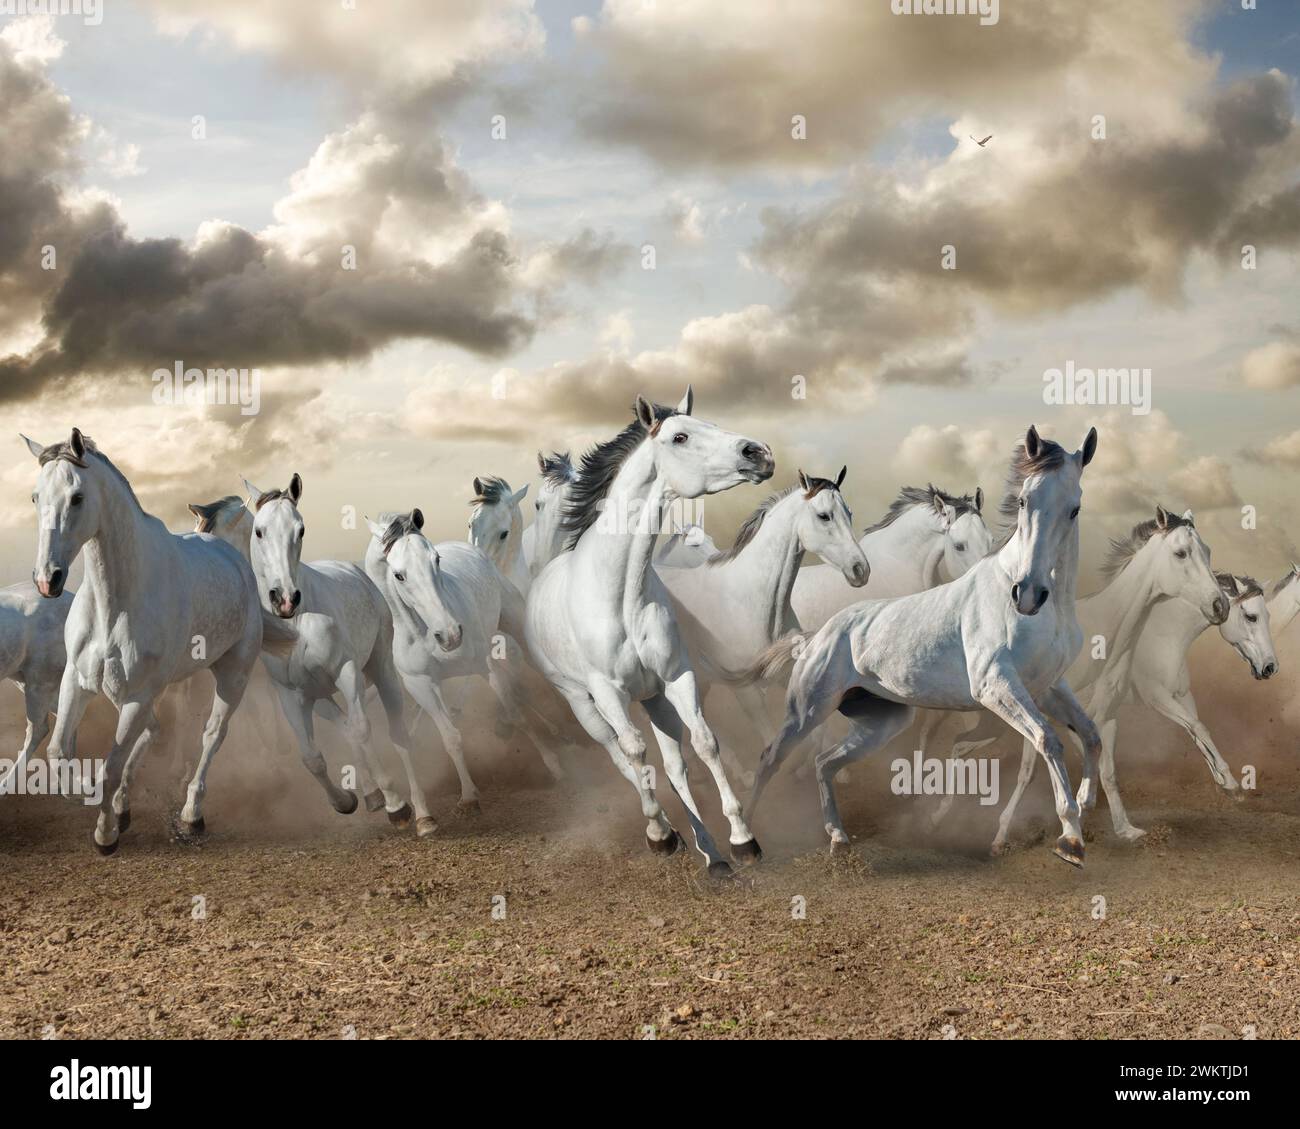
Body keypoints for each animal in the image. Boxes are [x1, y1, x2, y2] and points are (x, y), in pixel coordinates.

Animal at [24, 426, 261, 853]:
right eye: (36, 496)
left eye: (77, 497)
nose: (47, 579)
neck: (114, 603)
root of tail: (232, 557)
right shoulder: (77, 682)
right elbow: (59, 752)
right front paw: (98, 801)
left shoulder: (136, 696)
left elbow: (111, 766)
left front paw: (105, 834)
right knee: (155, 730)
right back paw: (126, 806)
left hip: (231, 676)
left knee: (212, 734)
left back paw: (192, 814)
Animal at [239, 470, 421, 827]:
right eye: (259, 530)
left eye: (300, 529)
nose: (285, 598)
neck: (296, 626)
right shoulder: (291, 694)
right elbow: (312, 757)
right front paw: (345, 801)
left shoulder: (346, 673)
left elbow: (363, 730)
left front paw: (397, 805)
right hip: (319, 696)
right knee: (344, 727)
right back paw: (371, 795)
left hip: (380, 669)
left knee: (392, 730)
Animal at [525, 387, 774, 874]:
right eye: (680, 436)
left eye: (712, 424)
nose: (758, 453)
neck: (622, 596)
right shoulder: (607, 693)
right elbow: (636, 753)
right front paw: (660, 835)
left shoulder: (676, 678)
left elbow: (704, 743)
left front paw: (742, 839)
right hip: (581, 701)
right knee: (619, 754)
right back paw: (667, 831)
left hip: (653, 698)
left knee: (675, 763)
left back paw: (709, 851)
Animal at [748, 426, 1102, 863]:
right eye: (1023, 501)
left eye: (1074, 508)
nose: (1029, 595)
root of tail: (817, 636)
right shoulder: (996, 686)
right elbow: (1048, 740)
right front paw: (1070, 839)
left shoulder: (1048, 686)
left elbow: (1090, 734)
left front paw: (1085, 802)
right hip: (806, 711)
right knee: (769, 759)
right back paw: (746, 842)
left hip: (883, 721)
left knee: (824, 763)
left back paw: (838, 837)